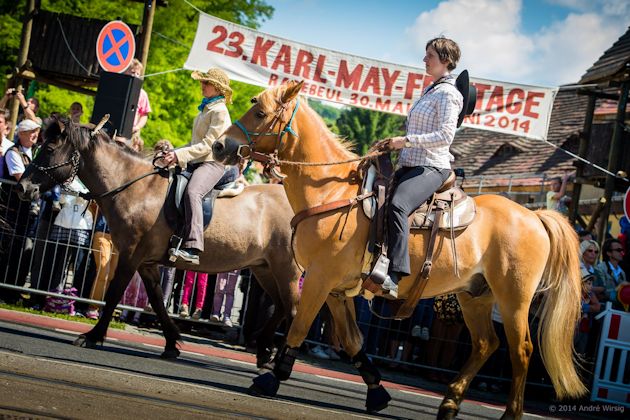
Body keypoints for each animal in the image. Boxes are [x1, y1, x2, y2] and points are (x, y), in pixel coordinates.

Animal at [15, 120, 302, 366]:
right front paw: (172, 343)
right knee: (281, 307)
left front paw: (92, 336)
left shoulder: (130, 256)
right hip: (264, 268)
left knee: (294, 310)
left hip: (286, 269)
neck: (134, 187)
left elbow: (114, 293)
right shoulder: (146, 263)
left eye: (49, 149)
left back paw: (277, 363)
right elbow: (156, 301)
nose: (23, 188)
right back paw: (264, 353)